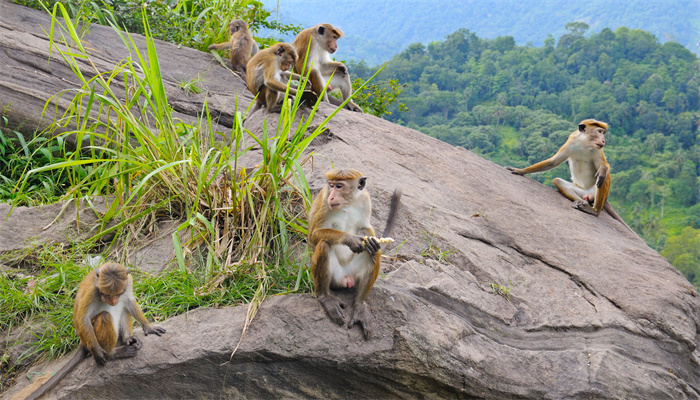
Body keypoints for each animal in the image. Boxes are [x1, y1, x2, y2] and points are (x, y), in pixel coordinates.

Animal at [23, 262, 167, 400]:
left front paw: (149, 328)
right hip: (90, 337)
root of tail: (82, 341)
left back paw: (128, 339)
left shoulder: (128, 282)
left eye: (117, 294)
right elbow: (83, 318)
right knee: (104, 316)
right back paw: (113, 354)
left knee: (124, 307)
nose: (113, 301)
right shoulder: (92, 291)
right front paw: (98, 351)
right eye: (107, 294)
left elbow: (129, 301)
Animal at [308, 167, 402, 340]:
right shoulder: (324, 202)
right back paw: (325, 296)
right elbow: (313, 234)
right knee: (324, 244)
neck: (348, 203)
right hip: (335, 277)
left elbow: (365, 228)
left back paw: (360, 305)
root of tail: (347, 279)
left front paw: (372, 242)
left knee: (374, 253)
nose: (332, 196)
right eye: (331, 186)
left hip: (354, 273)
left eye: (339, 186)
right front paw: (350, 239)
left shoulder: (365, 199)